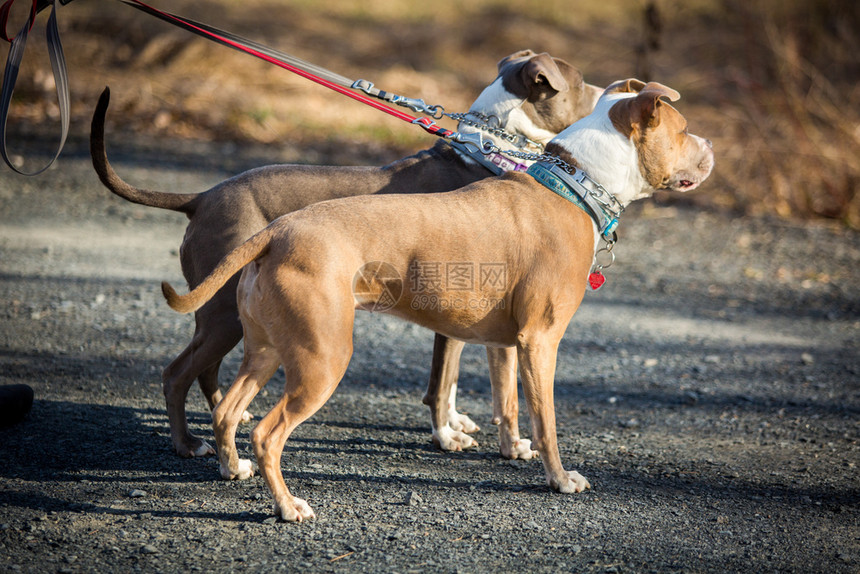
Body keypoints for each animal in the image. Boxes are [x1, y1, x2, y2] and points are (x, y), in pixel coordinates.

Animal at [90, 51, 600, 462]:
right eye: (583, 84)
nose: (609, 88)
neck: (491, 150)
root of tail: (201, 197)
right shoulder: (452, 312)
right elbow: (441, 383)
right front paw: (446, 435)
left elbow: (454, 382)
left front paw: (459, 424)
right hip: (222, 312)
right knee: (177, 373)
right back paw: (188, 445)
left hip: (225, 315)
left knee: (206, 369)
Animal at [161, 79, 712, 524]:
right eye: (685, 129)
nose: (710, 145)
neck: (574, 183)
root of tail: (277, 233)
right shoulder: (541, 341)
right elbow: (546, 421)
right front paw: (559, 479)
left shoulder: (506, 341)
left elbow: (507, 402)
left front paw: (509, 448)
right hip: (321, 359)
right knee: (267, 433)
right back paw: (286, 506)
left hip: (266, 349)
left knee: (228, 410)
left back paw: (232, 466)